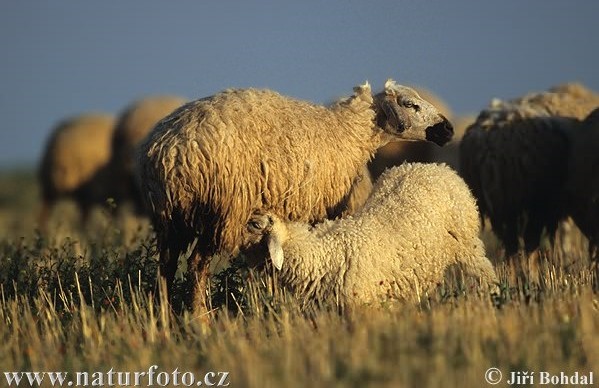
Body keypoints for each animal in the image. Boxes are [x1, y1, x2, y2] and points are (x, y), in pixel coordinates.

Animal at [137, 79, 454, 312]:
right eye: (410, 104)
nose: (448, 129)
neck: (348, 132)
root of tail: (168, 150)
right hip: (221, 210)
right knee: (197, 265)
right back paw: (200, 320)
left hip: (172, 217)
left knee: (166, 266)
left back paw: (164, 319)